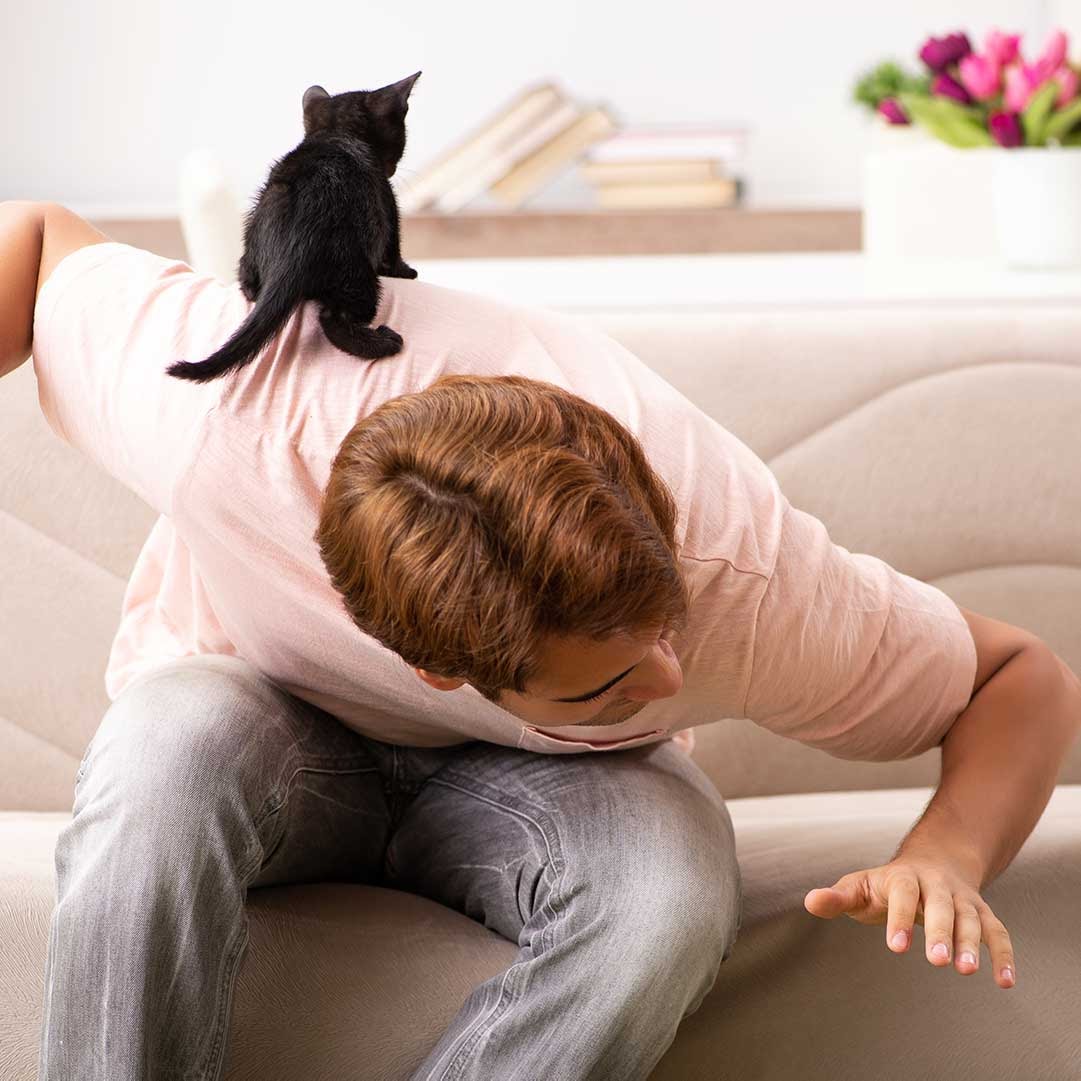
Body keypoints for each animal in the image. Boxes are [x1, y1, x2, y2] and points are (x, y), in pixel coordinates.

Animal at [168, 71, 421, 384]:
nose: (393, 167)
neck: (336, 133)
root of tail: (293, 247)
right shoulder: (387, 200)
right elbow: (393, 249)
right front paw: (407, 272)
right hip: (356, 273)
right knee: (334, 319)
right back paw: (385, 342)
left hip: (258, 220)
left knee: (248, 282)